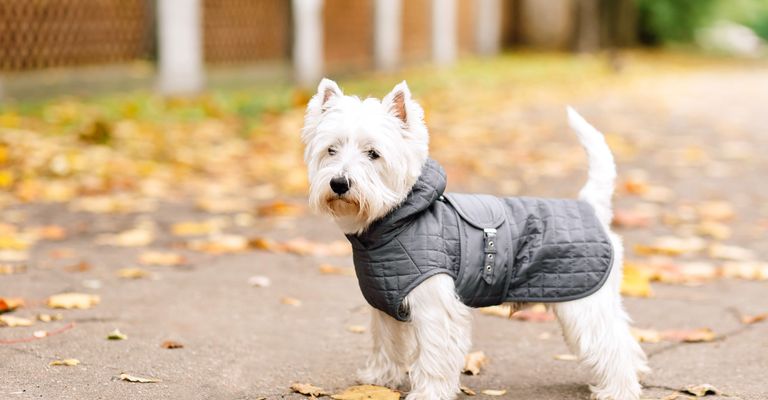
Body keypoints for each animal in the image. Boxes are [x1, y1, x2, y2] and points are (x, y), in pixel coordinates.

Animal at [300, 79, 648, 400]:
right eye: (331, 149)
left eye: (373, 153)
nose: (339, 183)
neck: (396, 221)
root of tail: (591, 207)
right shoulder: (385, 303)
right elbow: (385, 343)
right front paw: (377, 381)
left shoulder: (435, 307)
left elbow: (433, 357)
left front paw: (427, 393)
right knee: (625, 339)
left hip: (583, 303)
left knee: (612, 346)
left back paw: (618, 390)